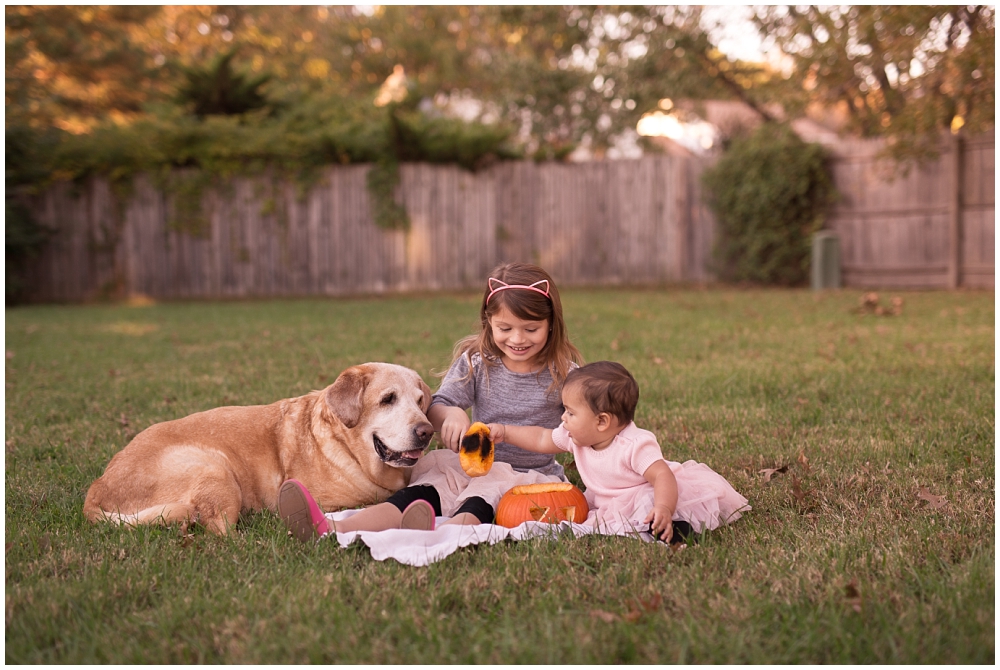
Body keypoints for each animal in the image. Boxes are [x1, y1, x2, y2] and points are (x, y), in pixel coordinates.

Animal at [83, 362, 434, 536]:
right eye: (388, 399)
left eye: (420, 401)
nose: (427, 432)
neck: (347, 448)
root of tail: (98, 486)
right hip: (215, 466)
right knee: (219, 531)